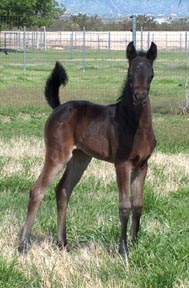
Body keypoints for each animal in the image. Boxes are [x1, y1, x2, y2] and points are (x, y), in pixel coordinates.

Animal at [18, 41, 158, 254]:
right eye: (130, 74)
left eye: (151, 74)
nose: (140, 96)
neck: (135, 125)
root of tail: (58, 108)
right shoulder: (122, 164)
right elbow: (125, 206)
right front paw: (123, 250)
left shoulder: (142, 165)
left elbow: (138, 205)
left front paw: (135, 244)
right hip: (57, 155)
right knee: (37, 190)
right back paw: (23, 245)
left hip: (80, 158)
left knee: (63, 189)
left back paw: (62, 243)